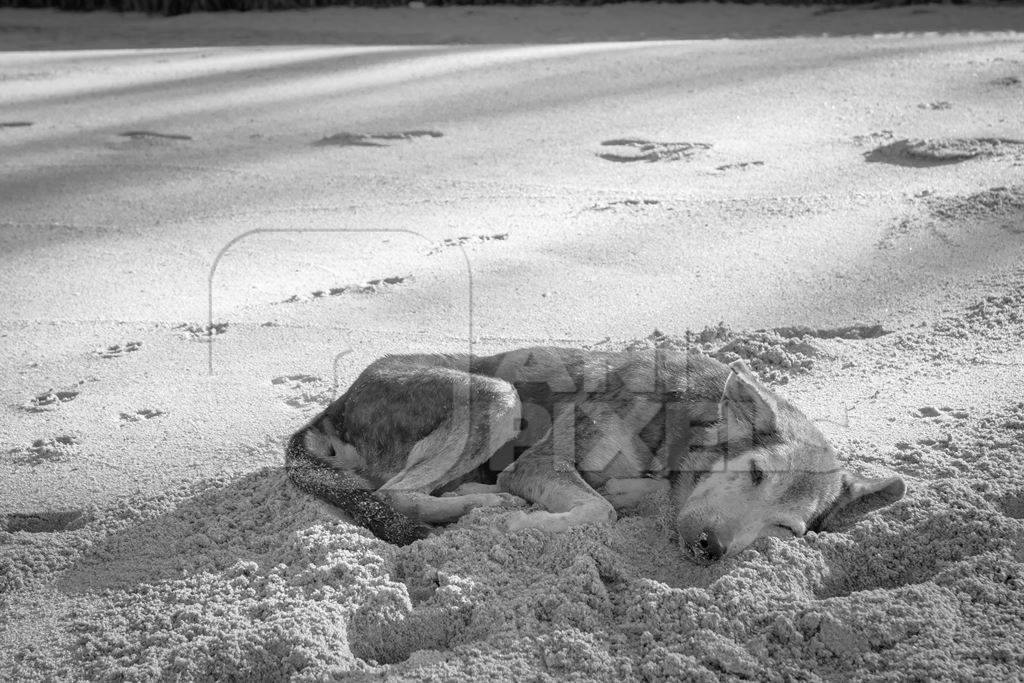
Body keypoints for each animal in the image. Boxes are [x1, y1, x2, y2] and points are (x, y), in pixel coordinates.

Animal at [286, 348, 905, 561]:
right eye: (753, 473)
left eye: (784, 530)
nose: (709, 548)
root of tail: (335, 405)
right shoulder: (539, 461)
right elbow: (599, 510)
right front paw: (524, 523)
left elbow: (625, 497)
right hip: (496, 395)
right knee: (395, 495)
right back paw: (482, 508)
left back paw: (478, 495)